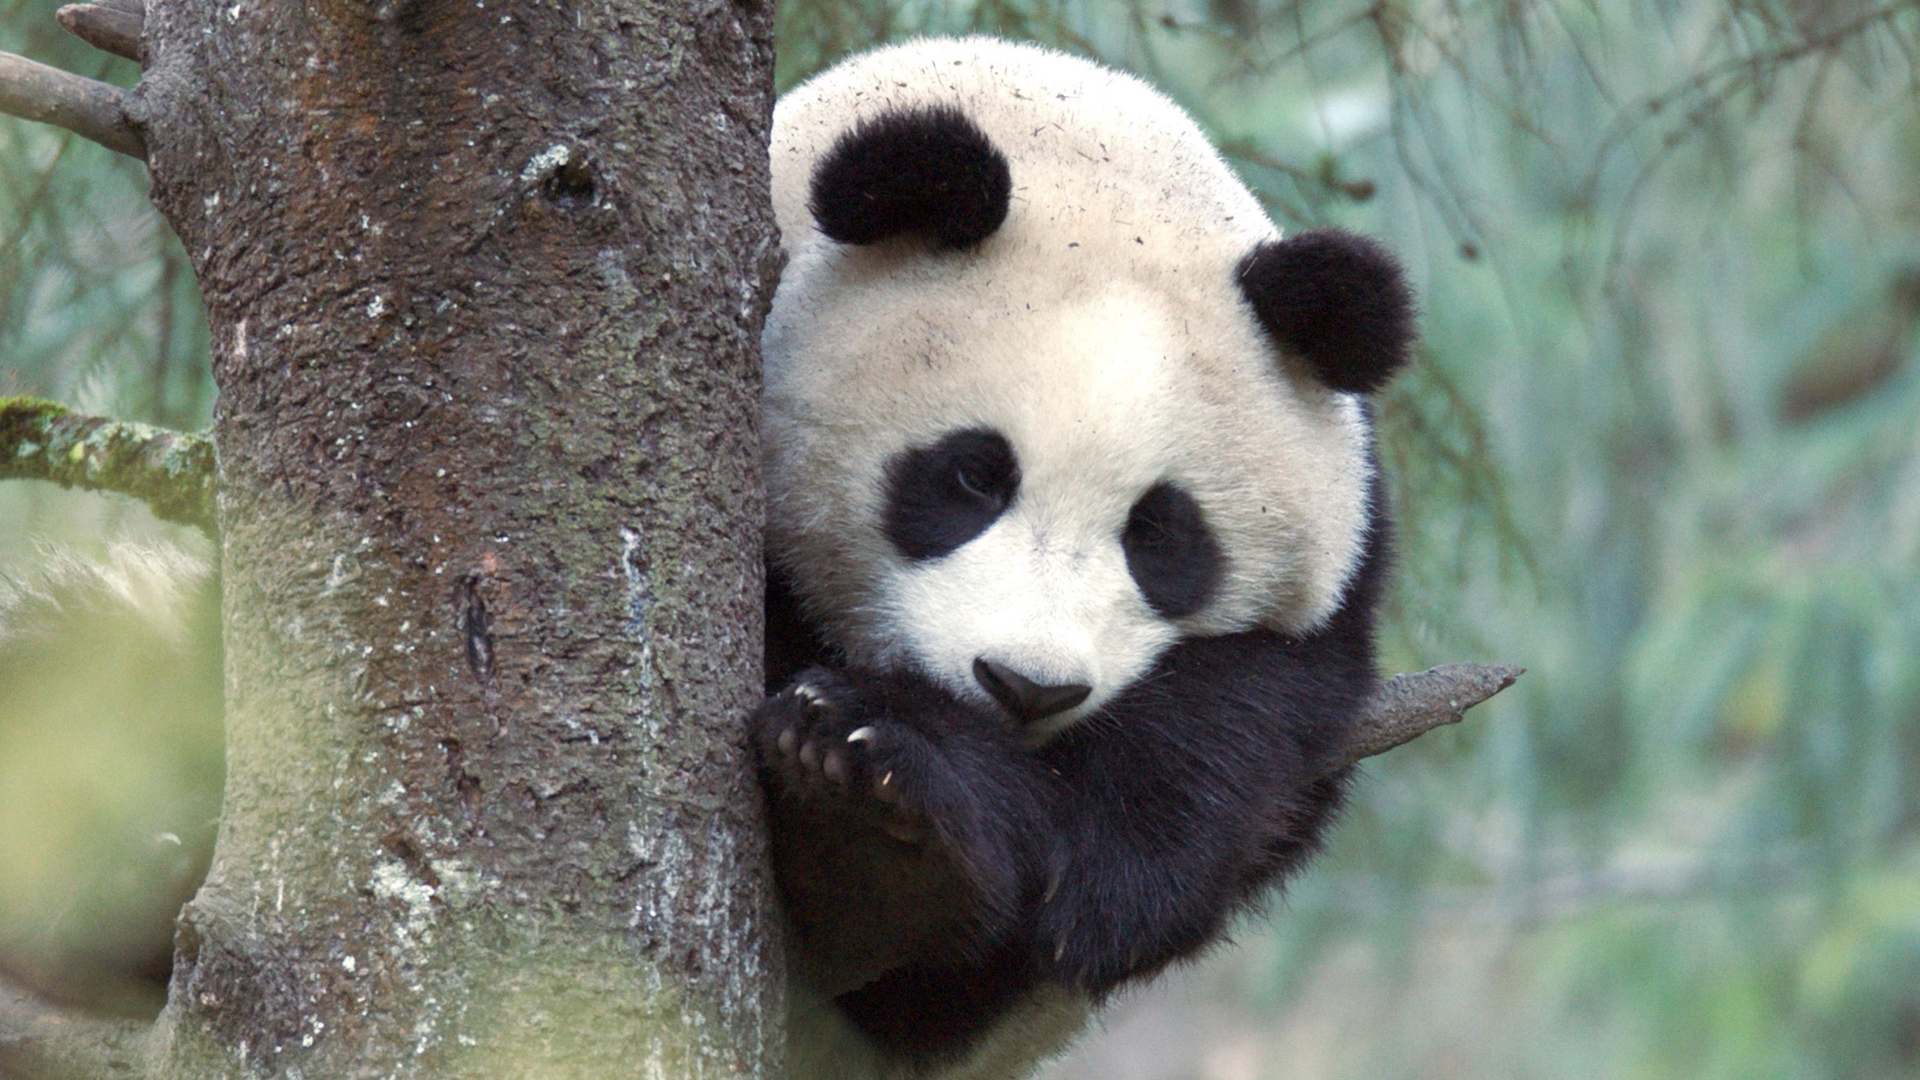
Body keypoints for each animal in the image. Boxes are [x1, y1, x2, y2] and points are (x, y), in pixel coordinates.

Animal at [753, 36, 1415, 1080]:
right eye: (972, 478)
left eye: (1159, 535)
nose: (1027, 688)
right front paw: (862, 778)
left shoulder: (1343, 567)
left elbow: (1241, 728)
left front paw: (908, 813)